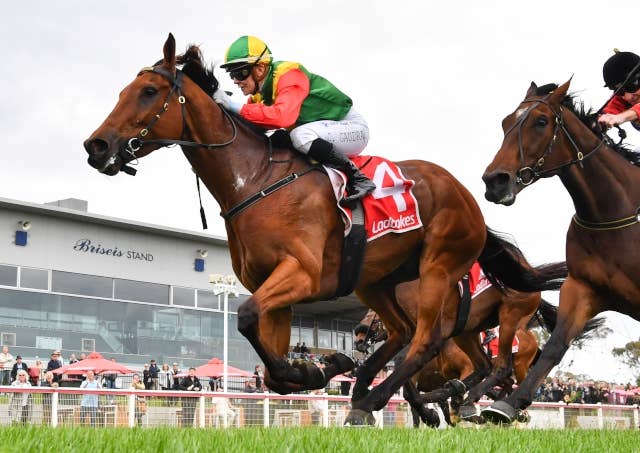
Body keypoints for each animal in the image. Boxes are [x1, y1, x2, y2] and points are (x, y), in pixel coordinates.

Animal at [83, 34, 567, 425]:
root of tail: (470, 199)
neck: (255, 180)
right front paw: (322, 366)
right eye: (124, 91)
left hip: (441, 270)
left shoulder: (301, 273)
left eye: (148, 92)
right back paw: (371, 387)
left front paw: (323, 367)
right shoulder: (272, 288)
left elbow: (246, 317)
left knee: (431, 341)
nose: (96, 145)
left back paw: (391, 400)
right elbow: (270, 365)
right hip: (377, 280)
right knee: (405, 333)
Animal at [481, 79, 639, 424]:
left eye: (541, 122)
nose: (494, 181)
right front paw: (507, 404)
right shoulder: (582, 288)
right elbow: (555, 346)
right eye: (505, 123)